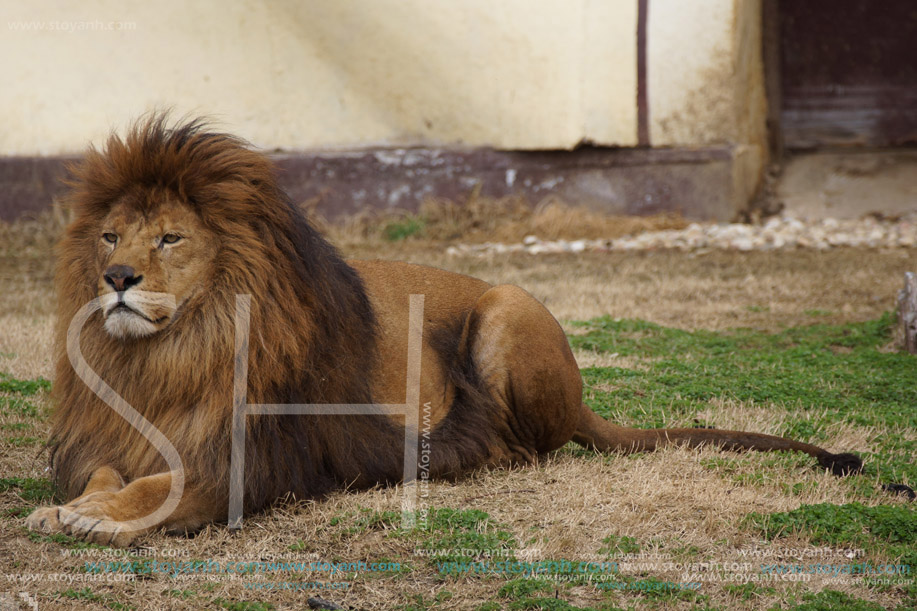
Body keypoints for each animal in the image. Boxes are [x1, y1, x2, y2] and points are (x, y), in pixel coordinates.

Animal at [26, 117, 860, 548]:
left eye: (169, 238)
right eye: (109, 235)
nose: (116, 277)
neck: (168, 355)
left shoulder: (253, 462)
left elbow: (159, 488)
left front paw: (98, 517)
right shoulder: (116, 434)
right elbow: (111, 474)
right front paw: (69, 506)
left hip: (507, 306)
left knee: (523, 444)